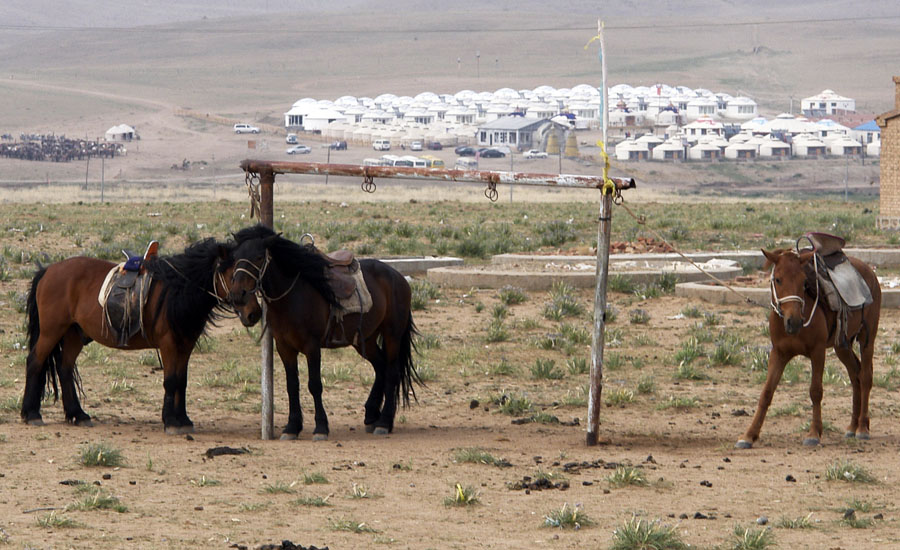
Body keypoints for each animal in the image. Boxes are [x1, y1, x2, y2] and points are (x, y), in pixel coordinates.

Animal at [22, 239, 237, 434]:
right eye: (234, 274)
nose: (244, 302)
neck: (176, 289)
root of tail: (48, 270)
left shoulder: (185, 344)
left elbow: (181, 381)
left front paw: (183, 419)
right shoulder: (168, 343)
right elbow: (171, 380)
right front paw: (171, 421)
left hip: (73, 333)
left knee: (64, 367)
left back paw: (78, 415)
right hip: (51, 331)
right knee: (35, 361)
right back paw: (31, 413)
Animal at [227, 226, 420, 442]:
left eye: (259, 257)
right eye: (235, 257)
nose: (238, 295)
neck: (291, 296)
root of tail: (399, 278)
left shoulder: (312, 346)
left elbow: (314, 385)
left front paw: (321, 427)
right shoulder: (284, 347)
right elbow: (292, 385)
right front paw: (292, 427)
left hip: (392, 335)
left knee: (392, 372)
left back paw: (384, 422)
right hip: (365, 339)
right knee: (381, 366)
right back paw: (371, 416)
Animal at [736, 248, 884, 450]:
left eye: (804, 281)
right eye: (778, 279)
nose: (794, 321)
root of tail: (869, 271)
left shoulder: (817, 352)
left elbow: (815, 391)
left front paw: (814, 433)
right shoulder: (778, 354)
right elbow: (766, 393)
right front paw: (749, 435)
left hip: (867, 338)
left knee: (866, 376)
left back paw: (862, 428)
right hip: (842, 345)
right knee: (855, 375)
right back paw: (852, 426)